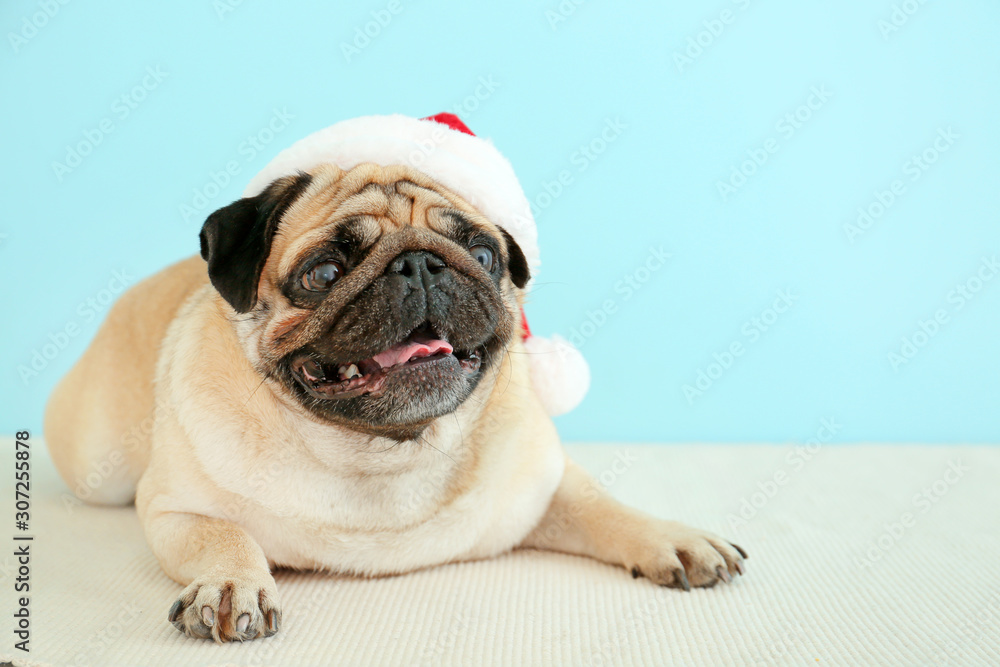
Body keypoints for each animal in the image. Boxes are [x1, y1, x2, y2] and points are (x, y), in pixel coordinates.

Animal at [47, 124, 748, 640]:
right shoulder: (174, 508)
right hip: (100, 467)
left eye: (484, 254)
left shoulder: (542, 488)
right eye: (324, 274)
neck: (384, 453)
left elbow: (604, 507)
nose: (421, 265)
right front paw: (230, 584)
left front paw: (673, 538)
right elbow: (224, 534)